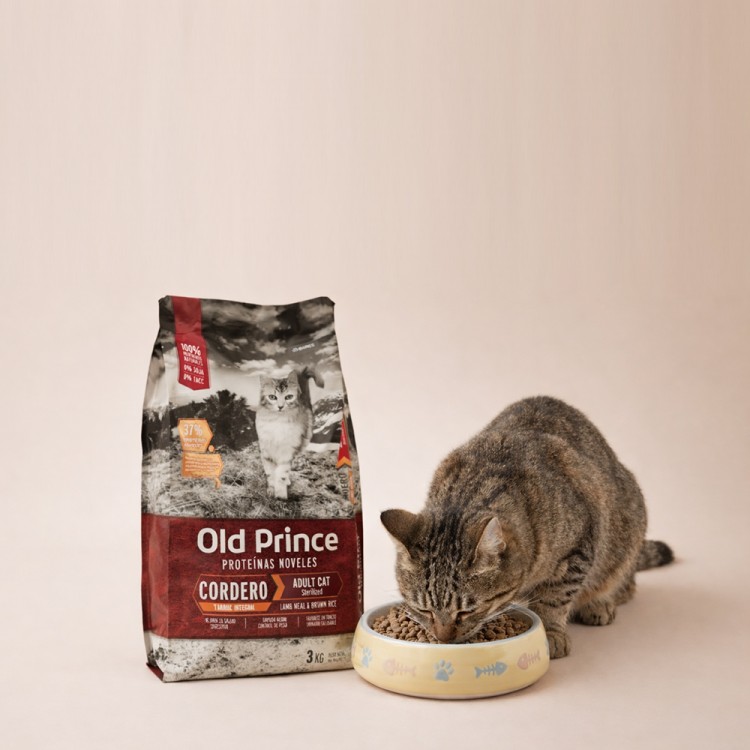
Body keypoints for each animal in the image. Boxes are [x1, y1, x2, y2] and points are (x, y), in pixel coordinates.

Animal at [255, 367, 324, 500]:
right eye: (272, 397)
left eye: (288, 397)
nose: (280, 406)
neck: (278, 422)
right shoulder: (266, 450)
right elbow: (270, 473)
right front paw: (271, 490)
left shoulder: (287, 451)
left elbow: (281, 473)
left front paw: (280, 494)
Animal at [381, 396, 674, 658]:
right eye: (424, 610)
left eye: (466, 611)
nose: (443, 639)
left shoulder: (580, 546)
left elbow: (555, 597)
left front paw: (550, 632)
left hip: (626, 529)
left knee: (623, 581)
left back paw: (600, 602)